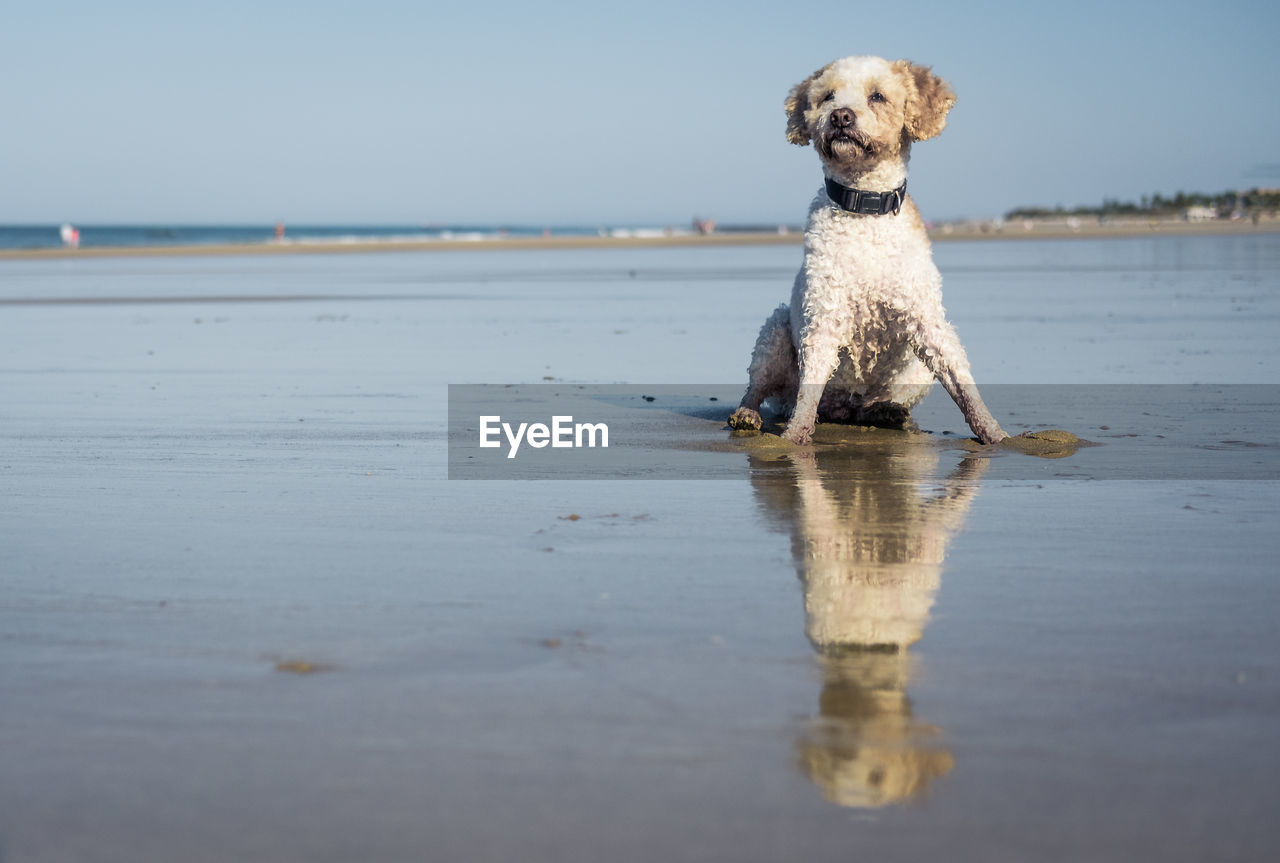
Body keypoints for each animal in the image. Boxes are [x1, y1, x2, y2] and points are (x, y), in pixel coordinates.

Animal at [727, 55, 1003, 443]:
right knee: (759, 389)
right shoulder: (824, 317)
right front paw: (795, 438)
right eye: (827, 96)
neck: (865, 207)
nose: (840, 116)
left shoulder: (927, 320)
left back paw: (888, 411)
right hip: (776, 333)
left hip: (915, 370)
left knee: (878, 403)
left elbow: (962, 382)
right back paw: (747, 415)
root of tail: (843, 409)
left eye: (877, 96)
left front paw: (995, 434)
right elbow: (810, 385)